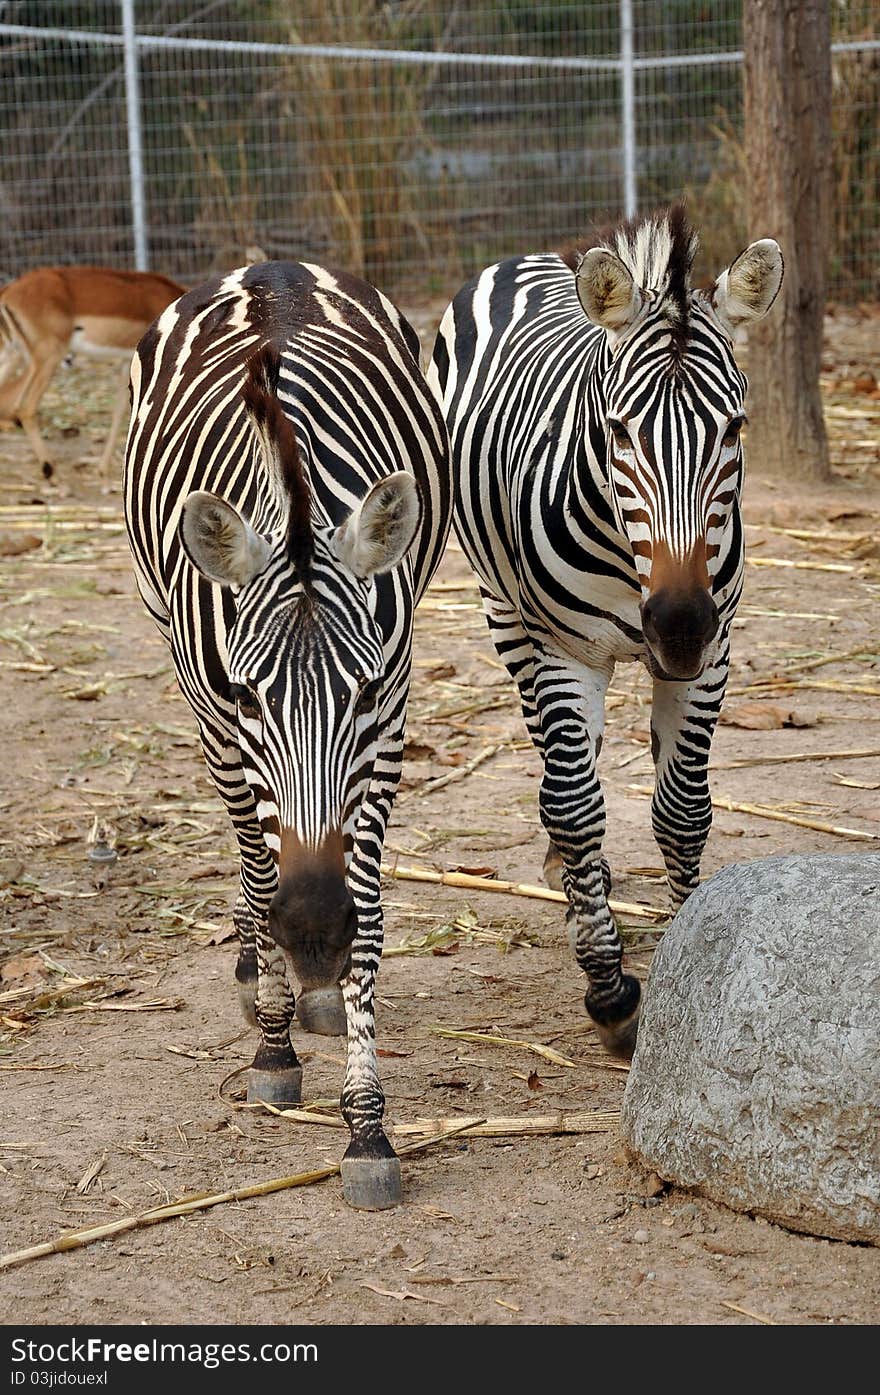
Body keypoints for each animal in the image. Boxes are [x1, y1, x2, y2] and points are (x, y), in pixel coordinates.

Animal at [124, 263, 451, 1210]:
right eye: (247, 691)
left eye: (365, 687)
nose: (312, 930)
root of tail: (268, 268)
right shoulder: (218, 717)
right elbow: (258, 860)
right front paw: (273, 1042)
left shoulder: (390, 724)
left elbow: (369, 908)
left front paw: (367, 1125)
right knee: (246, 852)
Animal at [429, 203, 780, 1054]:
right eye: (619, 430)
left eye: (735, 428)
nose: (677, 624)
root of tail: (527, 260)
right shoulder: (566, 651)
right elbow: (579, 806)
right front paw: (610, 988)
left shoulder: (715, 652)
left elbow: (682, 809)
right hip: (508, 616)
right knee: (561, 768)